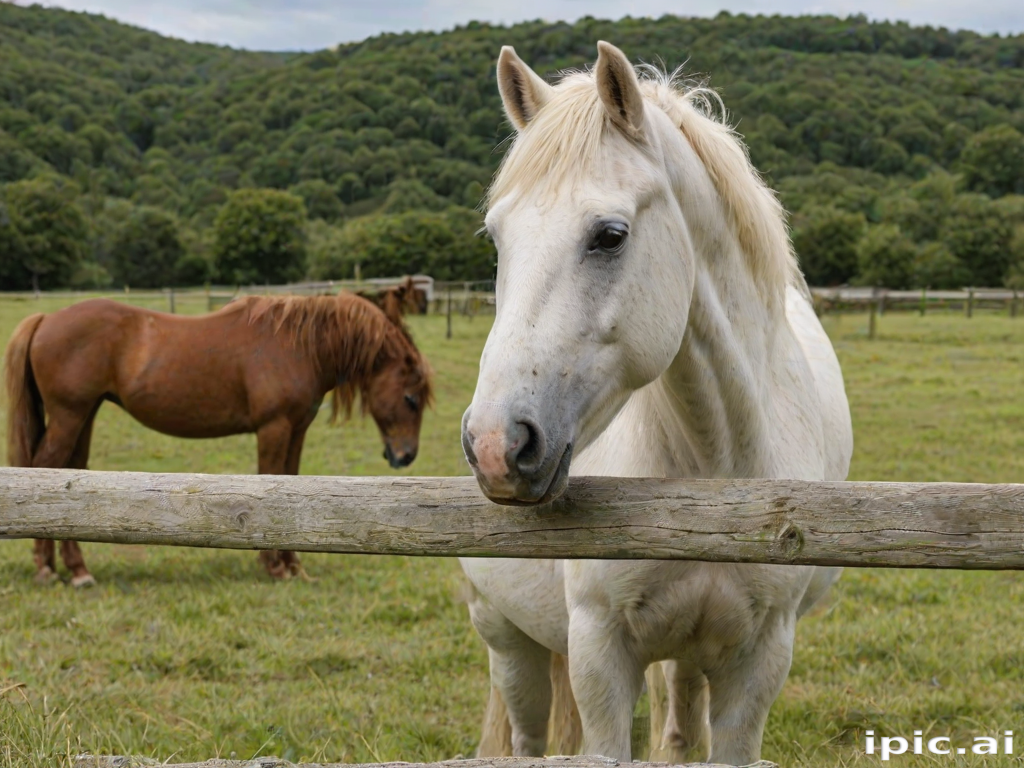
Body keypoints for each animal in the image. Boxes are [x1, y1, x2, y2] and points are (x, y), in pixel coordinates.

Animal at [5, 292, 433, 586]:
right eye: (410, 399)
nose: (406, 455)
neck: (298, 345)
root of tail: (45, 319)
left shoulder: (296, 429)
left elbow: (292, 486)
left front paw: (294, 565)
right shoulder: (274, 428)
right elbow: (270, 485)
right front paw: (274, 567)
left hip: (84, 414)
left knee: (69, 476)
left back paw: (74, 568)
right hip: (70, 415)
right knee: (45, 471)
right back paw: (50, 570)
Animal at [458, 42, 852, 766]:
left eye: (610, 235)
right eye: (497, 238)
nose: (498, 445)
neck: (713, 466)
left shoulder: (759, 663)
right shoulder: (598, 655)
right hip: (506, 635)